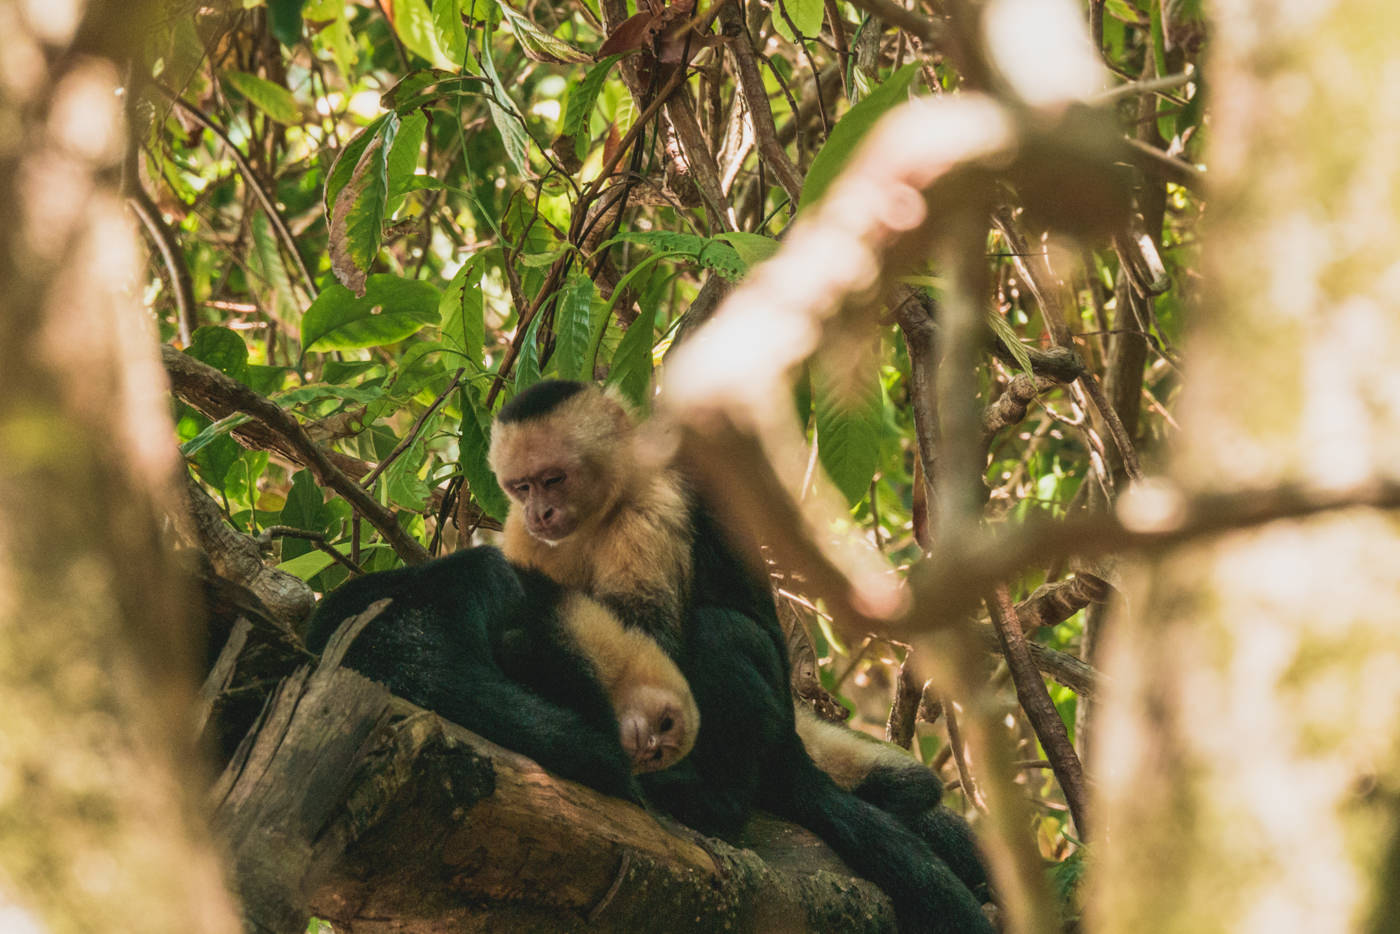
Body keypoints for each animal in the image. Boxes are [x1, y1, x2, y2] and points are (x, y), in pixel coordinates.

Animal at [306, 548, 700, 795]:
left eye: (659, 756)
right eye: (665, 724)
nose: (648, 748)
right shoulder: (588, 631)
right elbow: (529, 648)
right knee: (489, 568)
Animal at [487, 380, 991, 934]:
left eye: (553, 480)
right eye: (521, 487)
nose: (541, 513)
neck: (605, 507)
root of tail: (792, 742)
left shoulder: (653, 511)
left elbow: (650, 638)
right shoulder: (524, 536)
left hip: (774, 723)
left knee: (720, 633)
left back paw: (714, 803)